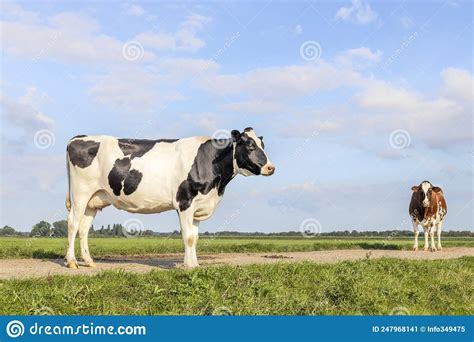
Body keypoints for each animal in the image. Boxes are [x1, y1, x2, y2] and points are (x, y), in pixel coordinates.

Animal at [65, 127, 276, 268]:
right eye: (250, 146)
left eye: (263, 145)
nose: (270, 167)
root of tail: (78, 137)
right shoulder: (185, 201)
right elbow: (188, 237)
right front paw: (189, 266)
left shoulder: (198, 206)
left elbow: (195, 238)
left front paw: (195, 265)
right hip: (80, 193)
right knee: (73, 223)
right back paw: (72, 262)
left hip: (94, 199)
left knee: (84, 228)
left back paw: (89, 261)